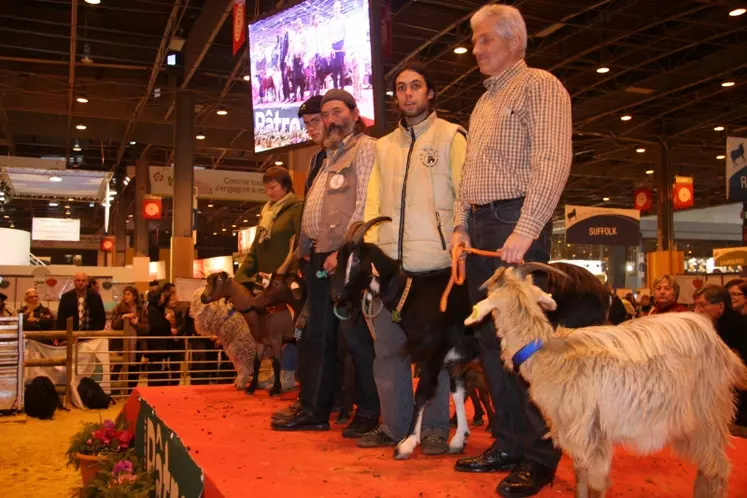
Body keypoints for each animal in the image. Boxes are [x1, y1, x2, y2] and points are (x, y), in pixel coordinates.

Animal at [468, 268, 747, 498]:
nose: (497, 271)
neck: (546, 351)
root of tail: (722, 346)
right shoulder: (577, 436)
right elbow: (581, 481)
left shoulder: (591, 433)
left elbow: (595, 485)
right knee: (708, 467)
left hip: (708, 411)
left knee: (717, 469)